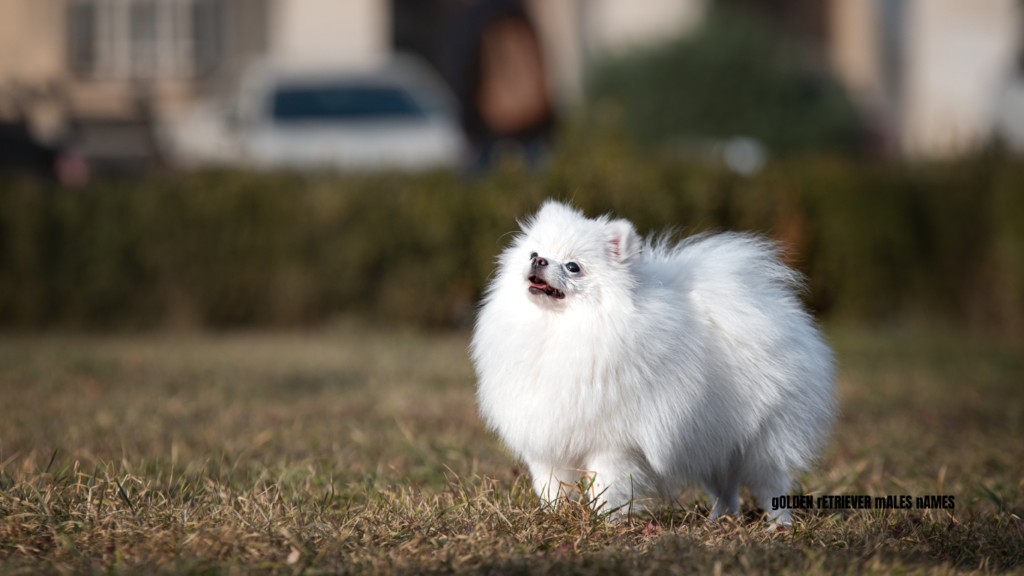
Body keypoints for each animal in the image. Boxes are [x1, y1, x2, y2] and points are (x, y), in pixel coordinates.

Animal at [468, 199, 835, 522]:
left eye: (573, 266)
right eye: (533, 253)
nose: (540, 261)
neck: (558, 330)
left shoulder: (614, 444)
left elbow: (607, 486)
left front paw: (606, 522)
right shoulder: (548, 443)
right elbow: (551, 488)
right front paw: (553, 517)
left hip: (762, 442)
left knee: (771, 485)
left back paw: (779, 525)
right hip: (710, 439)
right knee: (725, 488)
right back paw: (718, 520)